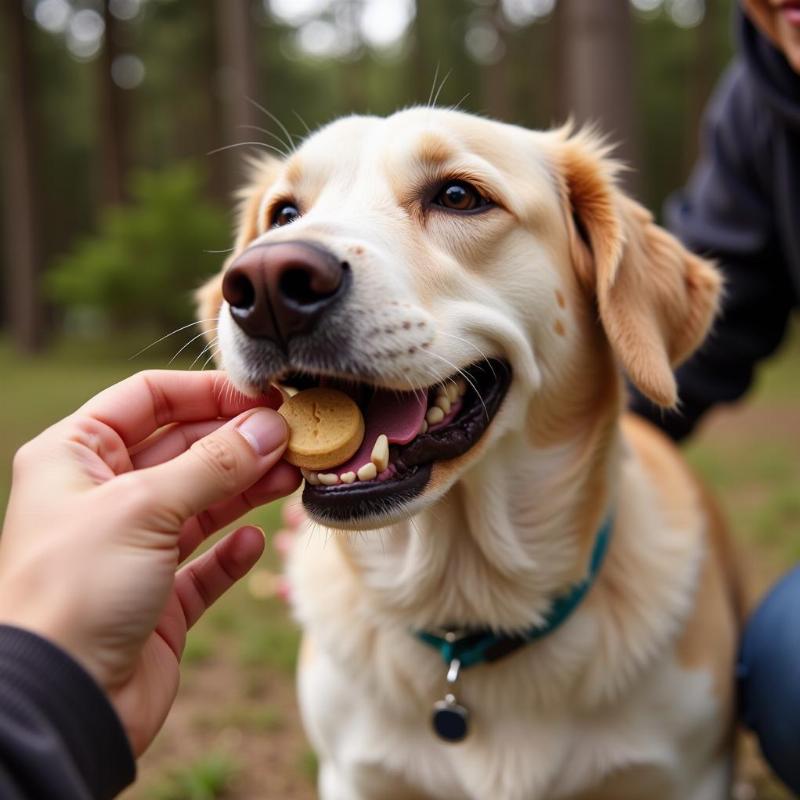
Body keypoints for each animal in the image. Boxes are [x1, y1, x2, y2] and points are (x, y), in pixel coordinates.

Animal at [198, 108, 744, 800]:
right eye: (284, 214)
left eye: (458, 196)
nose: (266, 282)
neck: (466, 611)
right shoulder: (353, 777)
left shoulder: (690, 775)